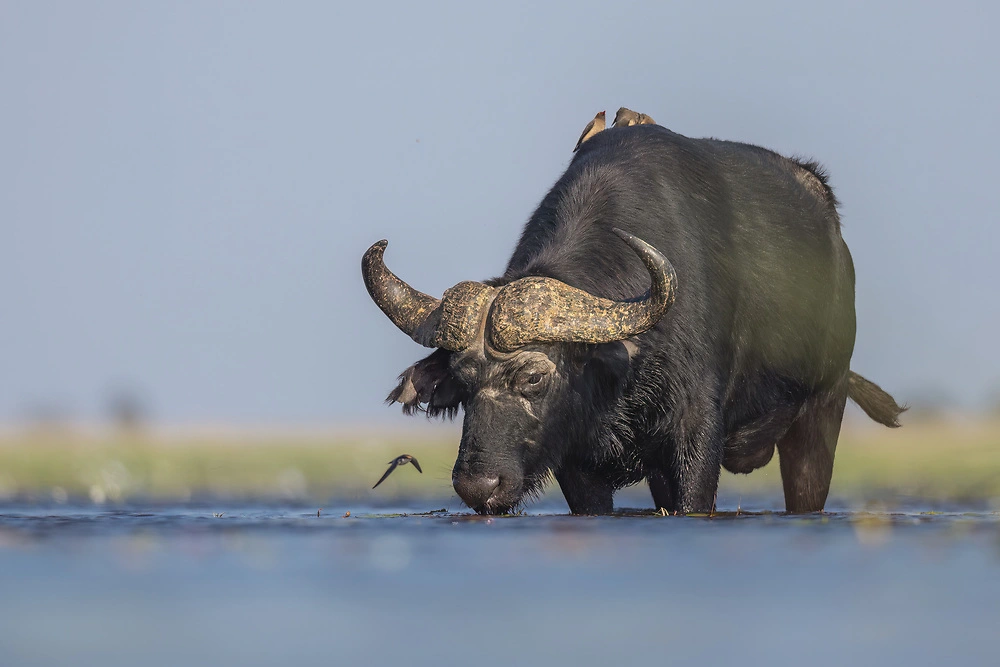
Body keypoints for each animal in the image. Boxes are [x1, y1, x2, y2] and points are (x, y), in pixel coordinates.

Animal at [362, 123, 905, 515]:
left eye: (534, 377)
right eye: (461, 378)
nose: (478, 486)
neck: (623, 372)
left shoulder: (694, 438)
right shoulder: (578, 464)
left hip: (821, 411)